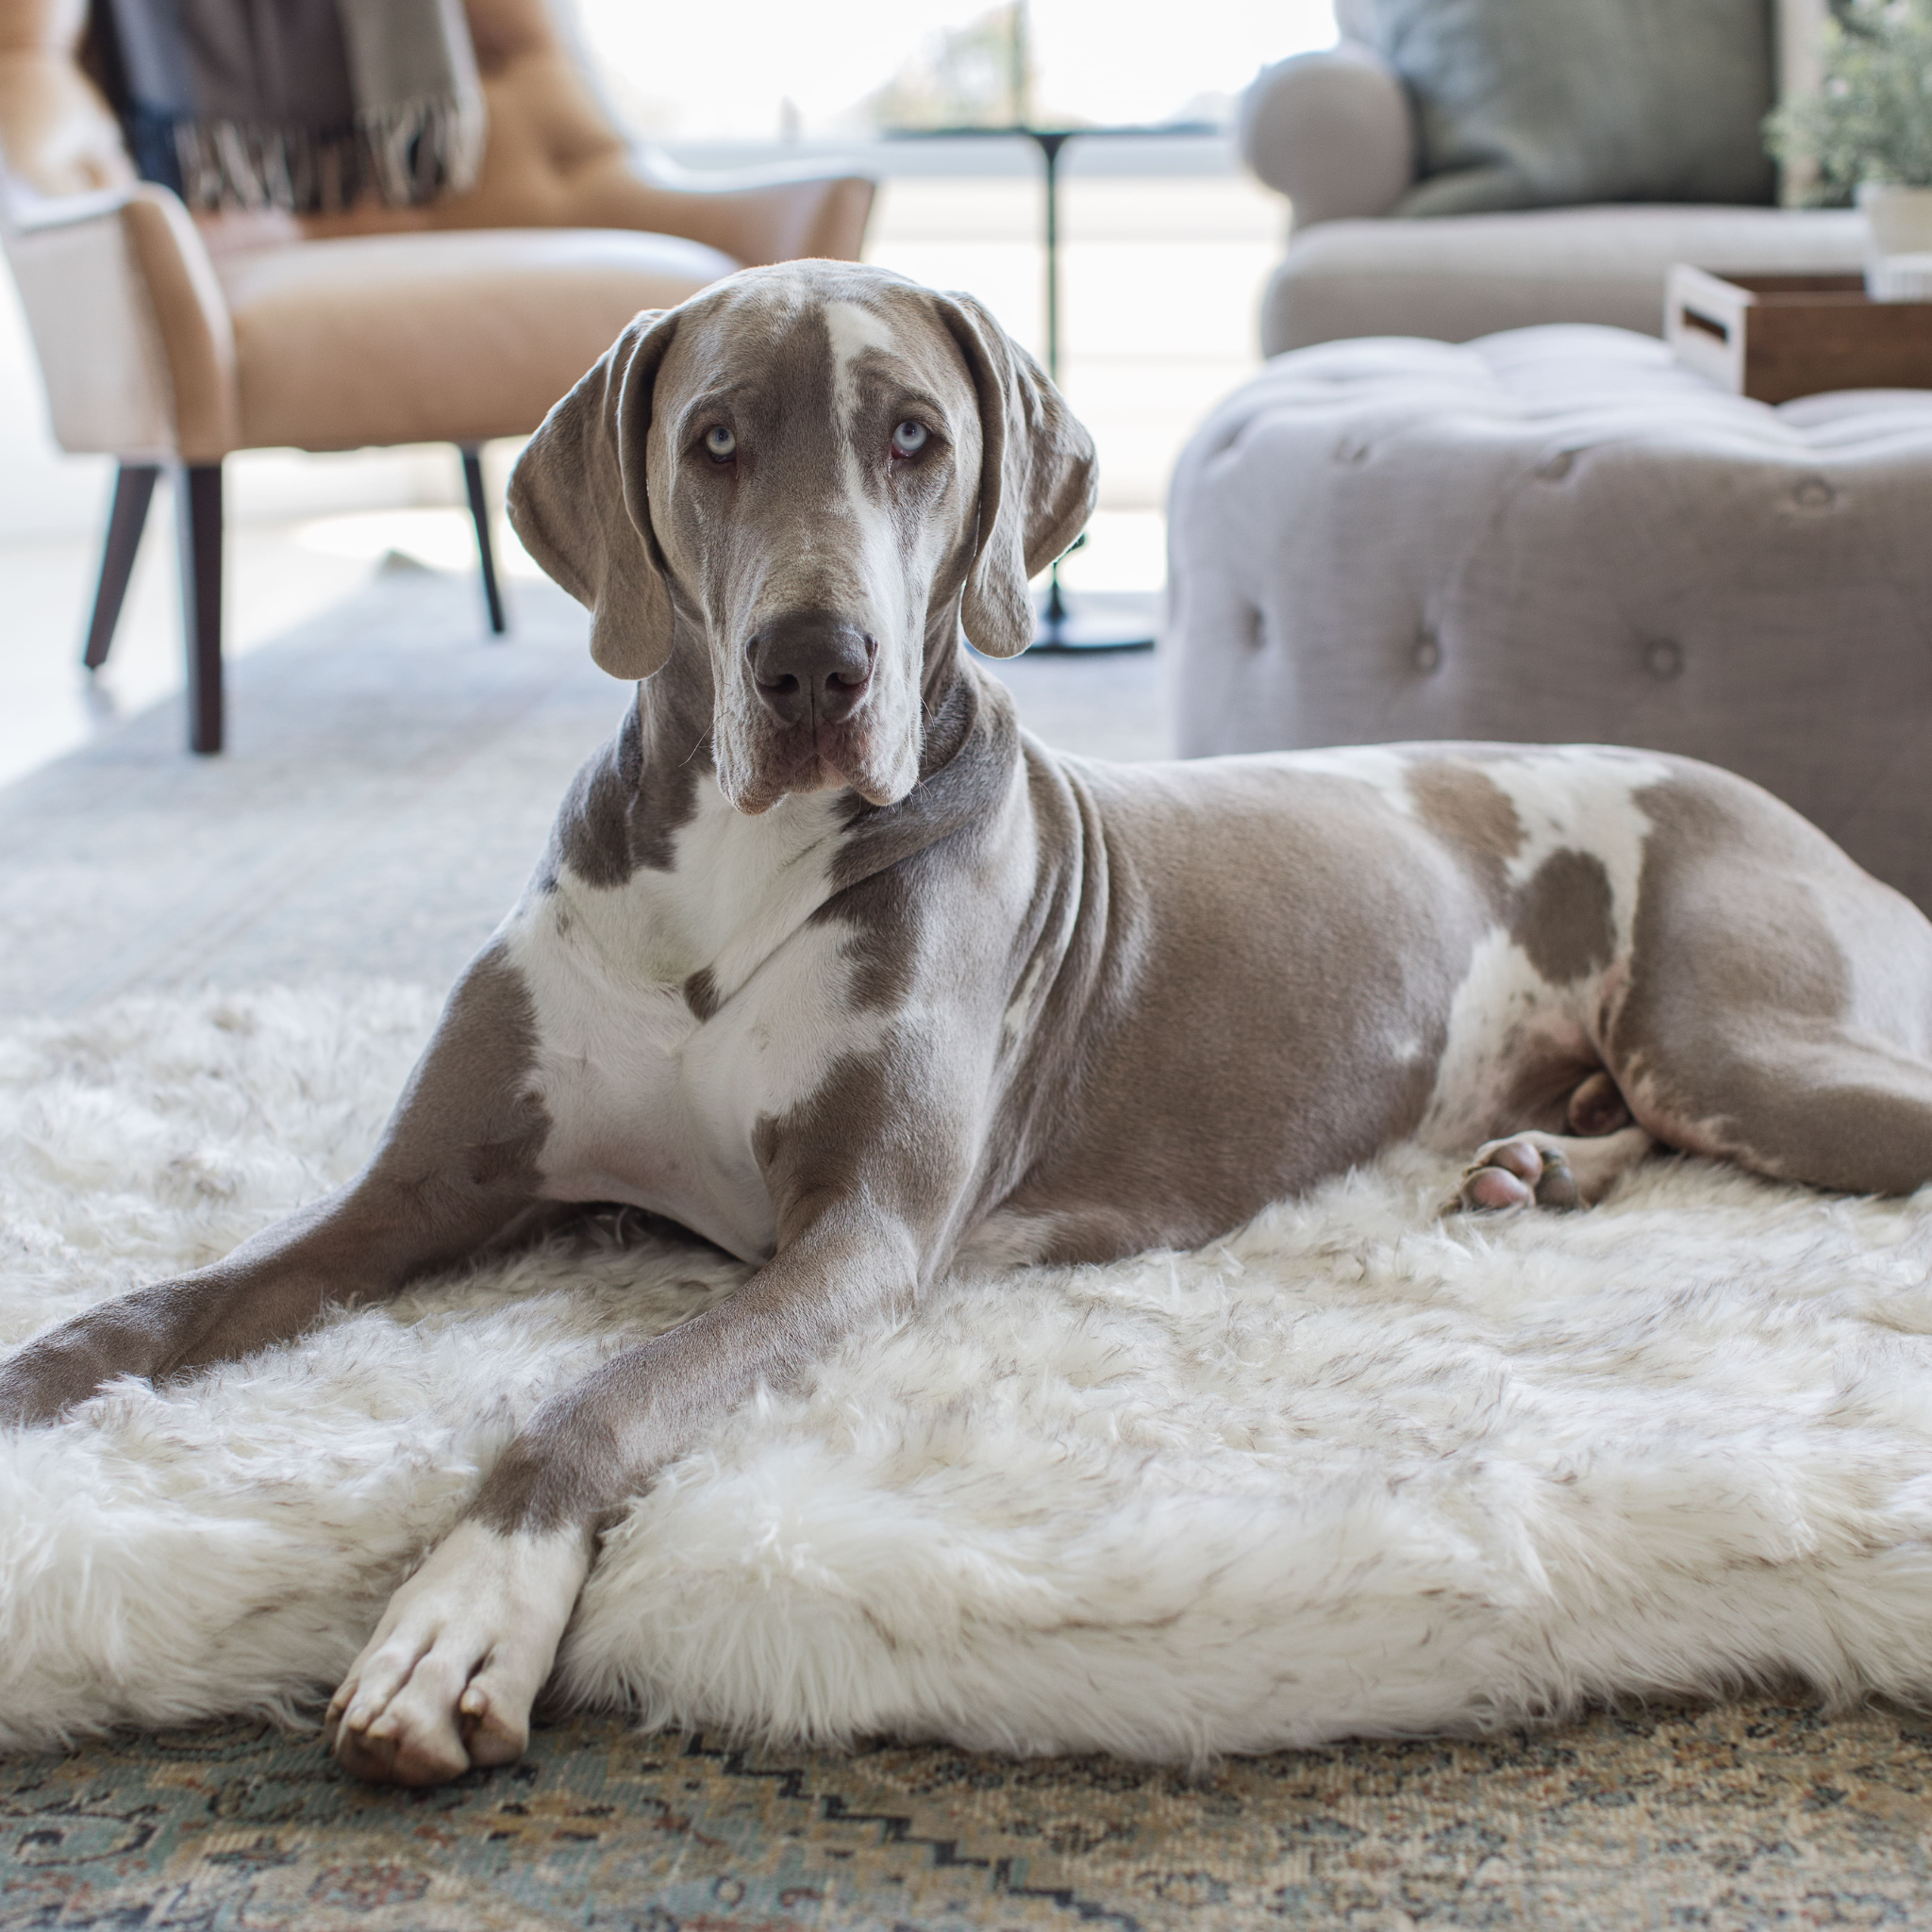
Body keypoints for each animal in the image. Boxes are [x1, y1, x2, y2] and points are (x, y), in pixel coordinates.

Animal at [4, 260, 1932, 1777]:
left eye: (914, 438)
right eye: (715, 439)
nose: (815, 663)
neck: (730, 880)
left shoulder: (856, 1238)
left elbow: (592, 1399)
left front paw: (459, 1616)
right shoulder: (421, 1190)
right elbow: (156, 1308)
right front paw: (38, 1386)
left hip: (1744, 1037)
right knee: (1632, 1123)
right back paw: (1535, 1165)